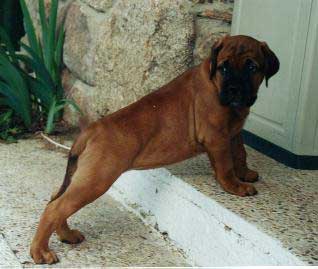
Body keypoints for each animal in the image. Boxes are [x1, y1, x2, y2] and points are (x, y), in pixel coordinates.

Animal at [29, 34, 278, 262]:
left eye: (252, 67)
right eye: (224, 67)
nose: (235, 90)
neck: (215, 83)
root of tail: (90, 131)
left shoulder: (233, 132)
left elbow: (240, 153)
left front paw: (244, 173)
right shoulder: (217, 137)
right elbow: (226, 165)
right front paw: (235, 186)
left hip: (82, 176)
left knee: (55, 197)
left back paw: (67, 235)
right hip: (95, 180)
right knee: (55, 207)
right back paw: (40, 252)